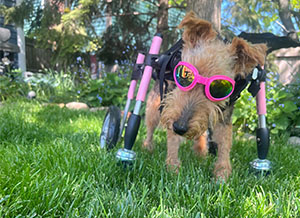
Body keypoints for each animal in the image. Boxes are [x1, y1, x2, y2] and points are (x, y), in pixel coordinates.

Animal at [142, 11, 268, 181]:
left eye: (220, 87)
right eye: (184, 74)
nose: (180, 127)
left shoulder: (224, 116)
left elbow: (225, 143)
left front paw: (222, 174)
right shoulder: (171, 108)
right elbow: (173, 140)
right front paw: (173, 168)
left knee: (201, 132)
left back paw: (200, 151)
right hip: (155, 105)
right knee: (150, 127)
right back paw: (147, 147)